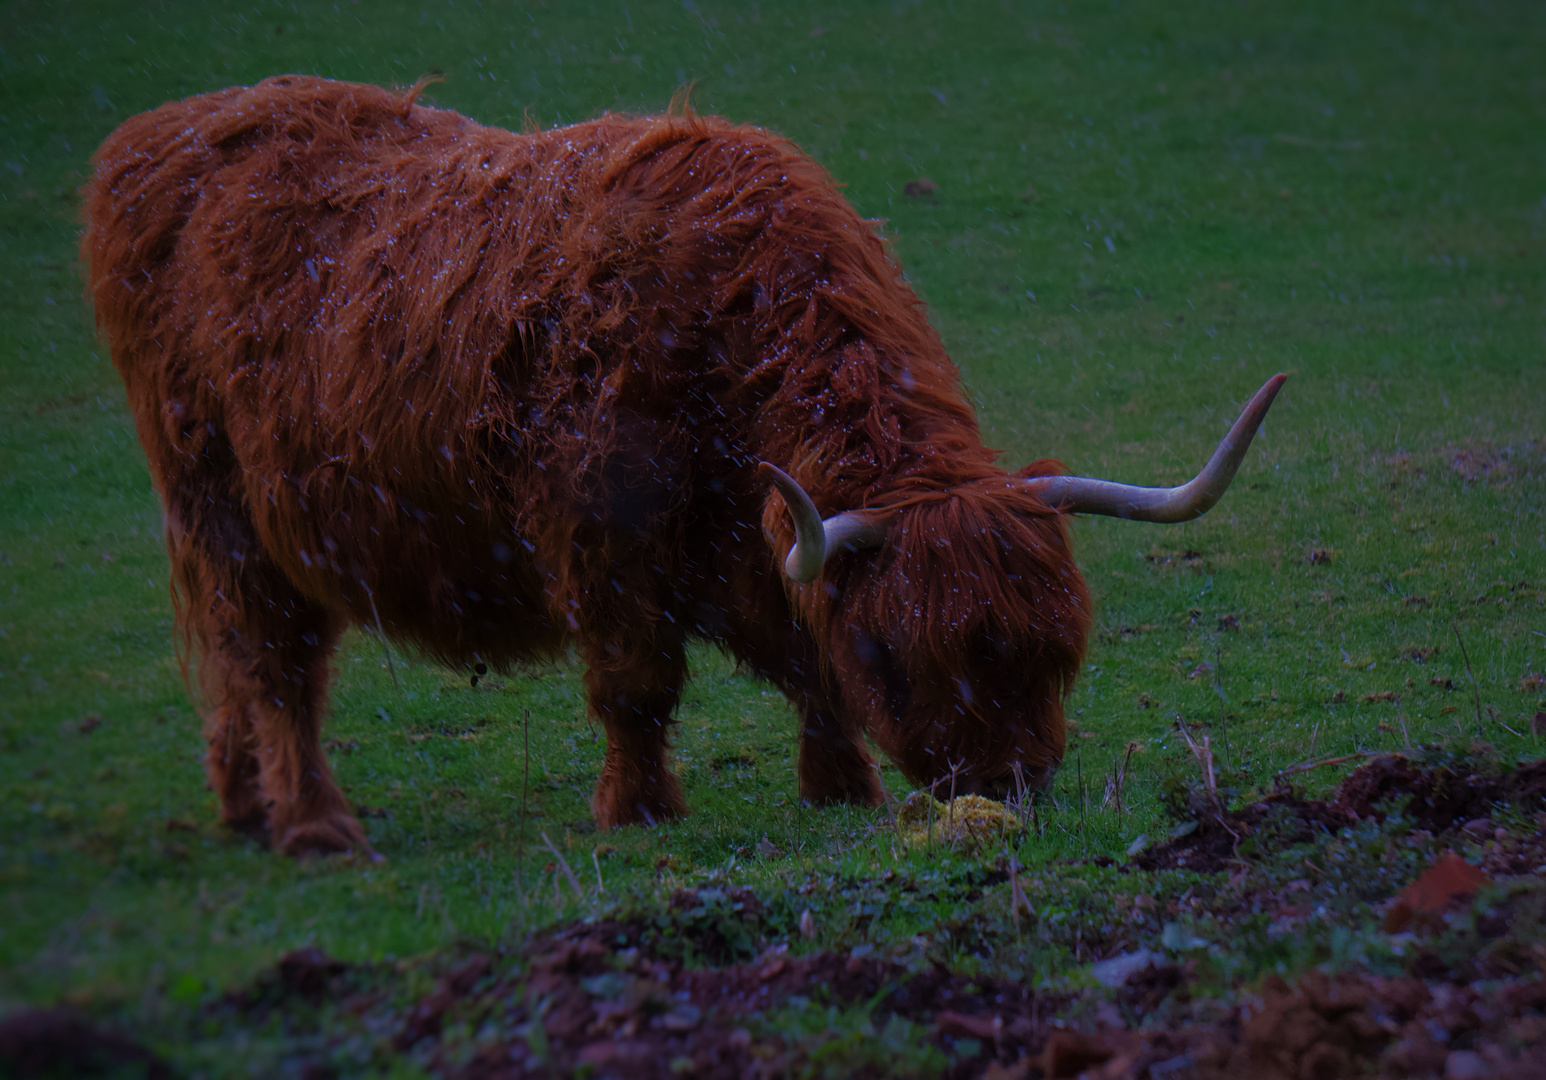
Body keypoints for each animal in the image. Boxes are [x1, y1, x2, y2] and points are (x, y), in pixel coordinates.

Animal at [81, 76, 1280, 859]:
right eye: (900, 654)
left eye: (1057, 646)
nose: (1006, 784)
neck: (723, 322)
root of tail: (160, 135)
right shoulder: (603, 536)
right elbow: (637, 684)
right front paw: (639, 810)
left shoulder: (751, 542)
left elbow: (802, 662)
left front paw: (838, 786)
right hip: (225, 504)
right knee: (274, 658)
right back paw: (313, 823)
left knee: (235, 659)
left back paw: (243, 802)